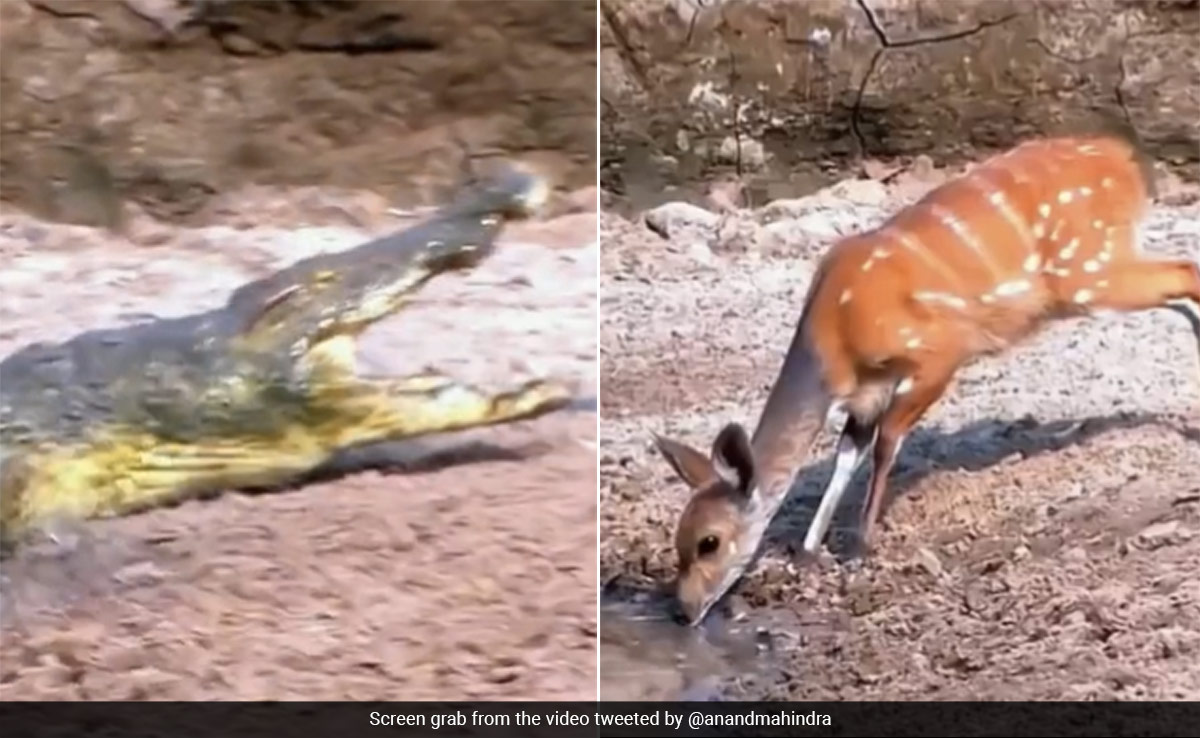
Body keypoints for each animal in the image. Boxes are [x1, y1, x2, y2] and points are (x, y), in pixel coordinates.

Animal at [652, 134, 1200, 626]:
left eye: (709, 542)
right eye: (678, 541)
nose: (685, 612)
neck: (835, 338)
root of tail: (1124, 158)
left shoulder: (938, 354)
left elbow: (886, 443)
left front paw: (861, 545)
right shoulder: (867, 394)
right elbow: (848, 453)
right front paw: (809, 551)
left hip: (1087, 271)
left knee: (1184, 271)